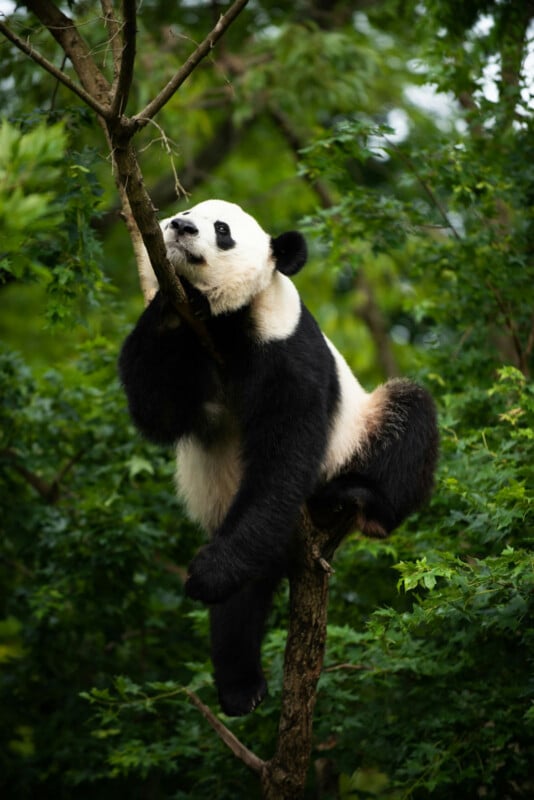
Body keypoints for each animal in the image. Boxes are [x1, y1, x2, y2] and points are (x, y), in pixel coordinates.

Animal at [118, 199, 438, 717]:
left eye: (221, 229)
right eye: (181, 213)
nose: (181, 227)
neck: (222, 325)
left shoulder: (285, 341)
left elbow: (284, 452)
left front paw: (204, 575)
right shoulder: (193, 350)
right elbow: (159, 411)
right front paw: (169, 304)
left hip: (359, 434)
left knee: (410, 416)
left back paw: (359, 503)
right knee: (241, 602)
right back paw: (241, 688)